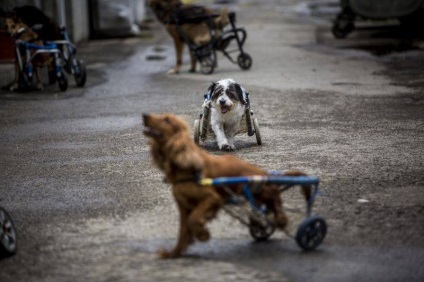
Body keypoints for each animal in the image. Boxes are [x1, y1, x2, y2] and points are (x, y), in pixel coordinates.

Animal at [142, 113, 312, 258]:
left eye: (167, 120)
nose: (144, 115)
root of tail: (263, 172)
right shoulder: (183, 206)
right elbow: (183, 231)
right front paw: (173, 253)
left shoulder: (212, 198)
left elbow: (194, 219)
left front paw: (203, 234)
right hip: (253, 194)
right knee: (264, 208)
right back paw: (261, 224)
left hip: (256, 189)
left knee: (275, 196)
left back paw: (281, 220)